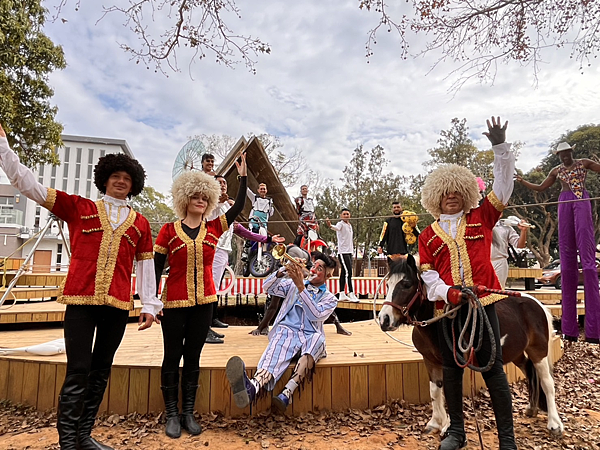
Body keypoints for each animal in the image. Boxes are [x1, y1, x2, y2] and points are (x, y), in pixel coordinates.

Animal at [380, 256, 564, 436]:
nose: (384, 319)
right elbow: (435, 390)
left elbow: (451, 390)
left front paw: (447, 426)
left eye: (406, 284)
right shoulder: (430, 360)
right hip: (516, 352)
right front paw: (435, 423)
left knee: (547, 382)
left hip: (538, 350)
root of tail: (537, 305)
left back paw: (554, 424)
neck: (437, 323)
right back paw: (532, 408)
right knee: (528, 369)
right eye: (388, 284)